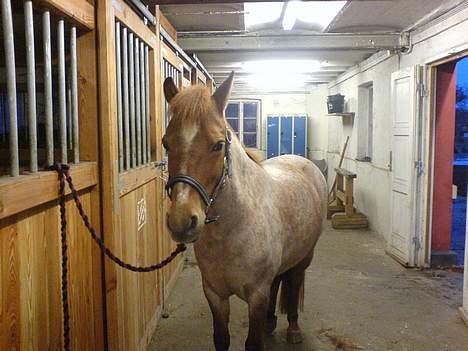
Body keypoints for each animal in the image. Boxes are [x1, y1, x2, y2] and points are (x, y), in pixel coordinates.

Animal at [163, 72, 328, 351]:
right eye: (166, 143)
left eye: (218, 145)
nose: (181, 221)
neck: (231, 229)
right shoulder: (214, 293)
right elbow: (221, 339)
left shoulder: (256, 295)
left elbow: (253, 343)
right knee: (278, 281)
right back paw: (271, 321)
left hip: (304, 257)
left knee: (294, 283)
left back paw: (293, 329)